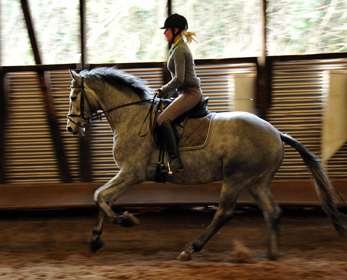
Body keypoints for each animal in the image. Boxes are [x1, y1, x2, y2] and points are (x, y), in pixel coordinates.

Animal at [65, 66, 346, 262]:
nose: (71, 128)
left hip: (235, 178)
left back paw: (191, 249)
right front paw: (95, 239)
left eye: (73, 97)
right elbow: (103, 197)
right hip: (256, 182)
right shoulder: (126, 173)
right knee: (272, 212)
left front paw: (126, 220)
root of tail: (277, 133)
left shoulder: (132, 173)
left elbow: (100, 196)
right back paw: (270, 255)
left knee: (223, 213)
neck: (131, 117)